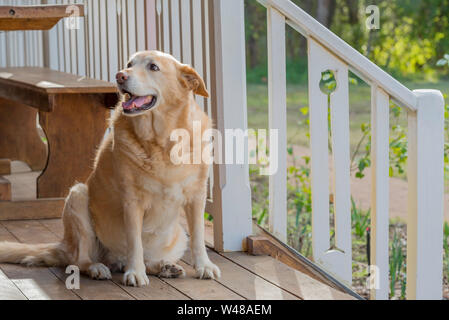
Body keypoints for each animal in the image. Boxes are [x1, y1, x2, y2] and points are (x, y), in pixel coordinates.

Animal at [0, 50, 220, 288]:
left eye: (153, 67)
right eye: (129, 63)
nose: (120, 75)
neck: (162, 139)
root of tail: (62, 244)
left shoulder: (197, 196)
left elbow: (198, 236)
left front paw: (204, 266)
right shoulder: (132, 200)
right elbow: (134, 241)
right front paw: (135, 272)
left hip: (178, 237)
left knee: (148, 258)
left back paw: (164, 266)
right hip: (78, 197)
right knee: (80, 260)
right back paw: (98, 267)